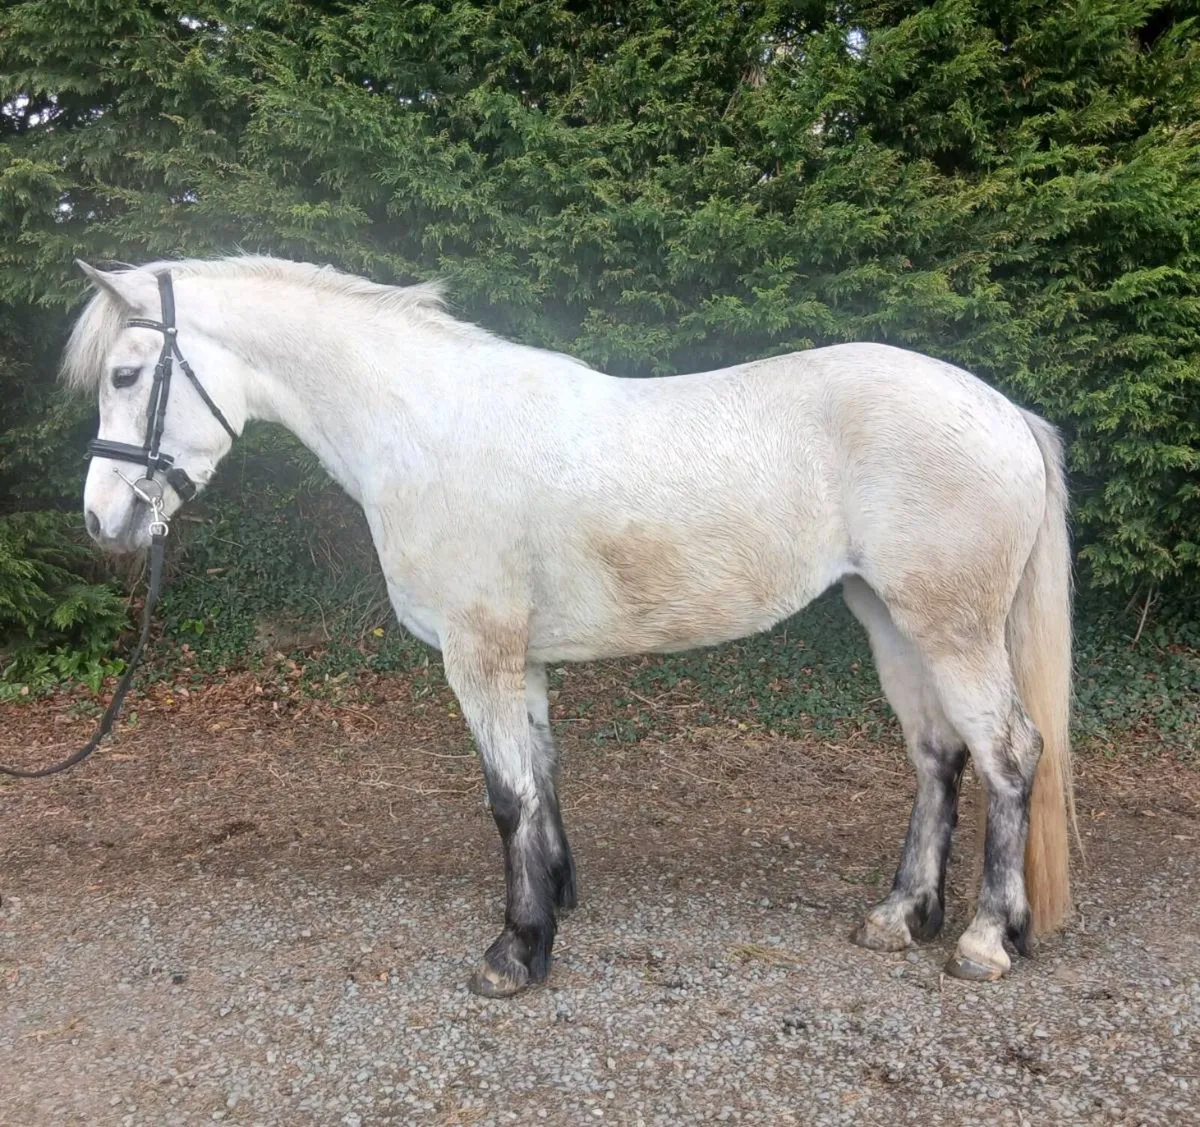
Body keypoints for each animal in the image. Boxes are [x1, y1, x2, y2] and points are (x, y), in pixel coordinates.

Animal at [65, 255, 1075, 997]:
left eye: (126, 374)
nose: (102, 520)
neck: (432, 430)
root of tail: (1001, 410)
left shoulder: (477, 652)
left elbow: (506, 796)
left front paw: (515, 950)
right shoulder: (521, 660)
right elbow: (541, 778)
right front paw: (555, 897)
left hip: (950, 628)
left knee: (1010, 754)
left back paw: (985, 937)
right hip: (892, 621)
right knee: (938, 757)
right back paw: (901, 916)